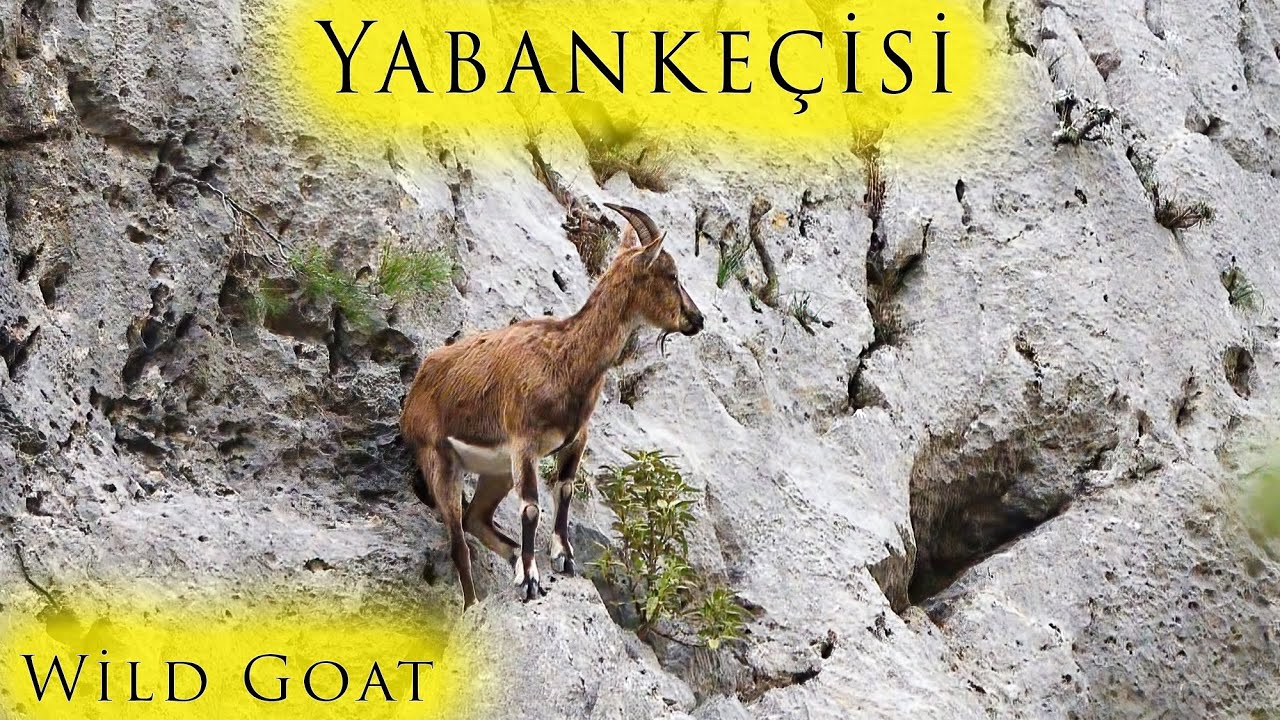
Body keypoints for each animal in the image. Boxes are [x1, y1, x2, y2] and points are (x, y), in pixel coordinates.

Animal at [400, 204, 704, 607]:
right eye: (672, 275)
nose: (697, 319)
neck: (567, 359)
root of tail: (416, 390)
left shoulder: (575, 438)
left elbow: (565, 489)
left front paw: (562, 556)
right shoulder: (524, 443)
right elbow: (530, 507)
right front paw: (530, 578)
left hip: (497, 469)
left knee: (475, 519)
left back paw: (513, 559)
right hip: (439, 459)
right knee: (459, 543)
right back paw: (475, 602)